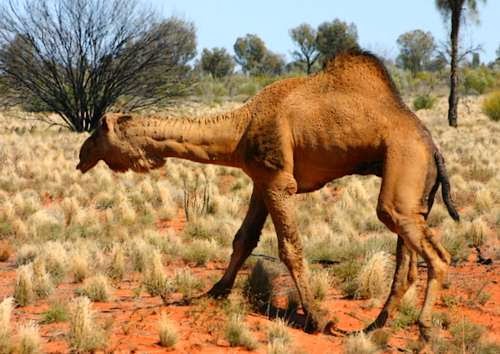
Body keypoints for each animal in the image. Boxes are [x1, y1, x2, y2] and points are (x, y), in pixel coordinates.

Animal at [77, 49, 460, 340]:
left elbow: (290, 248)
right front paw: (214, 292)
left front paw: (318, 319)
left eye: (98, 131)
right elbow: (243, 238)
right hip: (415, 191)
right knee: (406, 264)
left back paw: (424, 331)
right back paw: (372, 328)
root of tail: (435, 147)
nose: (81, 155)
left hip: (404, 166)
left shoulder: (278, 179)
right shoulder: (260, 181)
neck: (239, 128)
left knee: (435, 254)